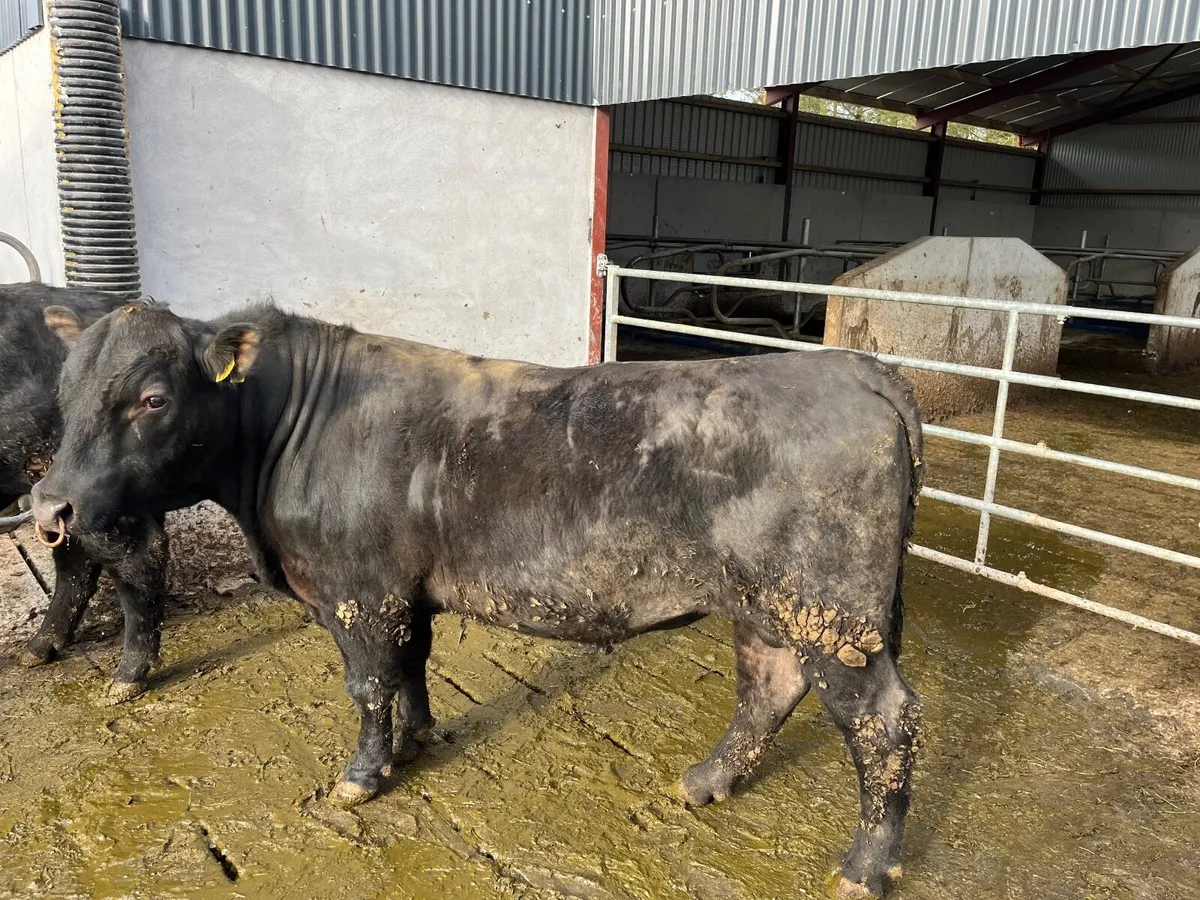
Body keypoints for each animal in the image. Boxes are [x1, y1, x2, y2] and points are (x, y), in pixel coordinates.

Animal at [32, 300, 923, 899]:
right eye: (62, 394)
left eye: (152, 398)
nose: (50, 506)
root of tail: (855, 368)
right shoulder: (405, 594)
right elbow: (411, 667)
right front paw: (417, 738)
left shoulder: (360, 592)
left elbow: (368, 684)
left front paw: (363, 774)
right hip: (775, 606)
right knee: (769, 684)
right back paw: (707, 781)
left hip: (831, 612)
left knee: (883, 721)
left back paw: (864, 866)